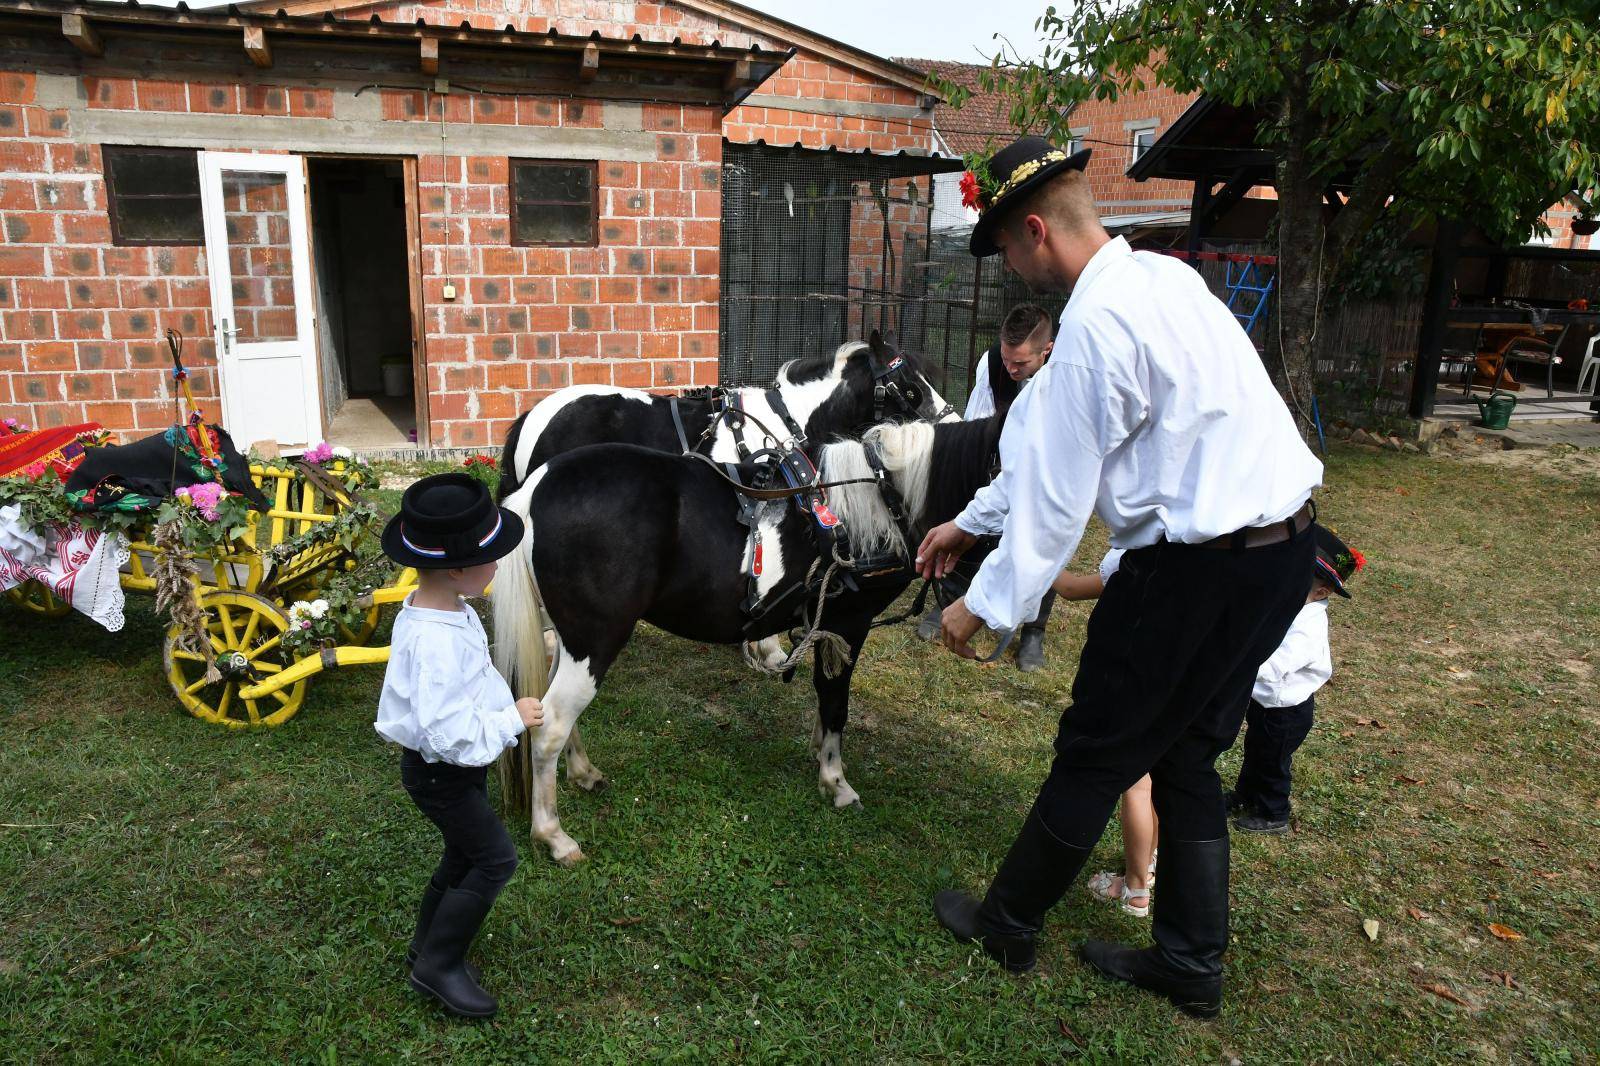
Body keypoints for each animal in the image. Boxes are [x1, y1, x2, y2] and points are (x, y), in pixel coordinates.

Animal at [492, 416, 1004, 864]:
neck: (876, 502)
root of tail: (534, 489)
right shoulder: (850, 624)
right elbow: (836, 703)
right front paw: (835, 780)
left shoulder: (827, 626)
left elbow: (824, 698)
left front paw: (819, 753)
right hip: (595, 641)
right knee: (550, 726)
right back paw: (553, 835)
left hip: (572, 637)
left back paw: (582, 772)